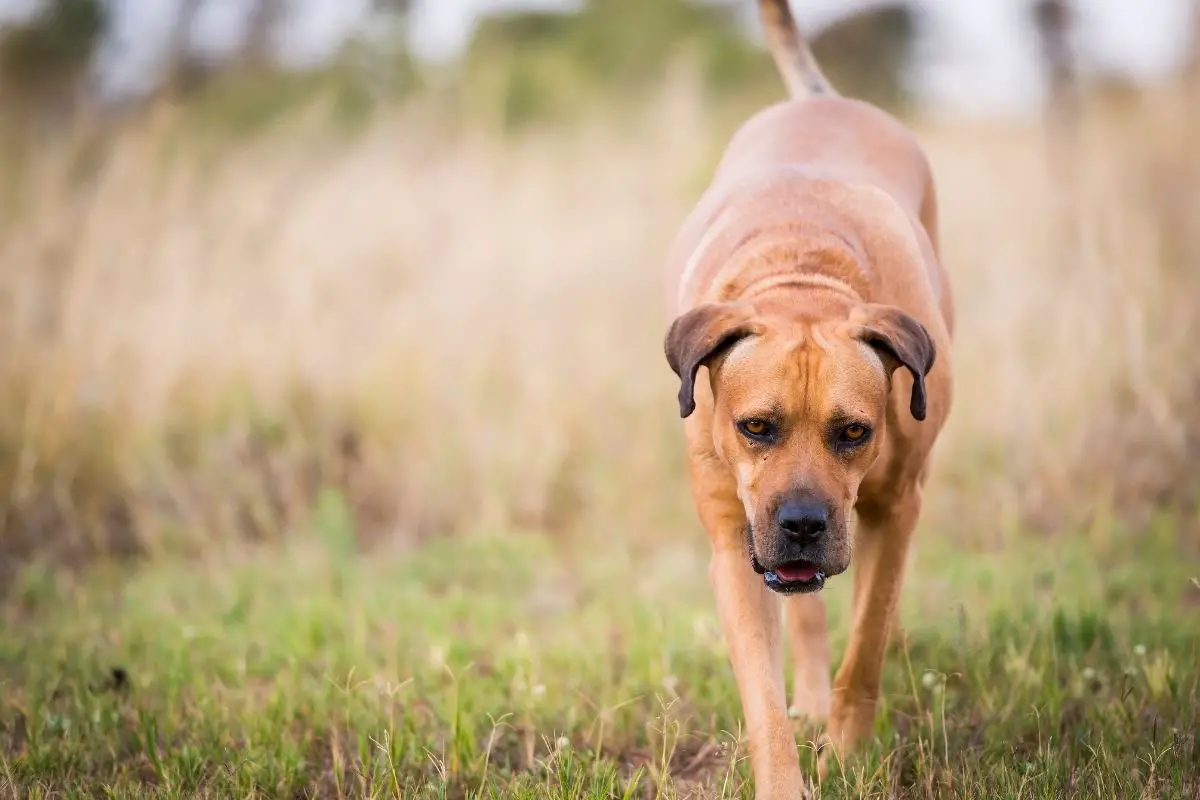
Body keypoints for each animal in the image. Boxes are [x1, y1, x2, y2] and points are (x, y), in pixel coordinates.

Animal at [662, 3, 950, 796]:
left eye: (854, 432)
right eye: (755, 426)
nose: (801, 524)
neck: (802, 276)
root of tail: (823, 98)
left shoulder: (897, 507)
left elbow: (869, 640)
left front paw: (846, 755)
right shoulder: (735, 546)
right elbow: (762, 695)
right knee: (808, 616)